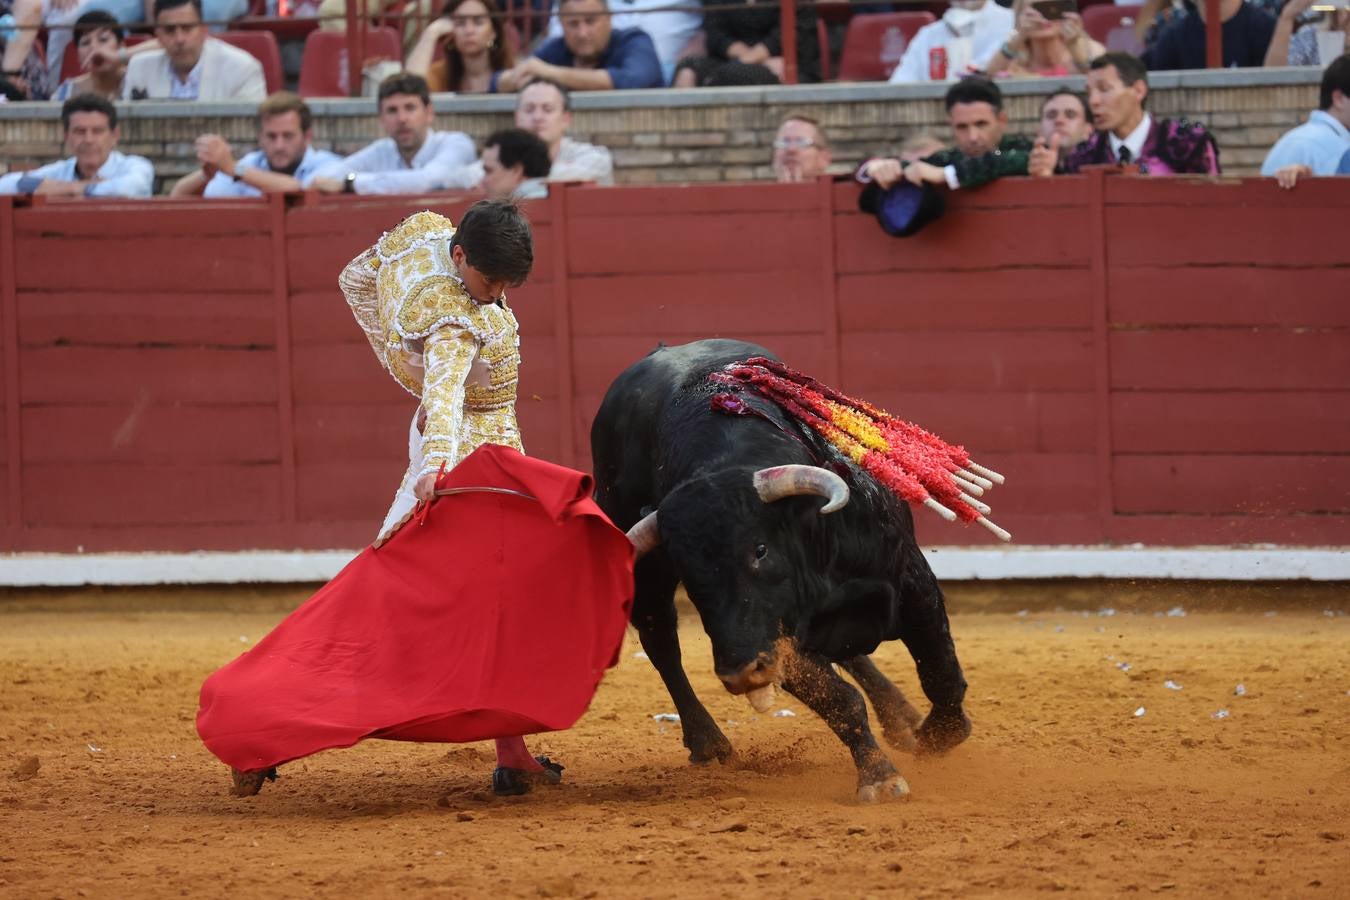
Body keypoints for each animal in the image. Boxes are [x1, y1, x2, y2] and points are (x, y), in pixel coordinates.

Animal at [591, 340, 972, 804]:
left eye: (760, 549)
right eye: (691, 571)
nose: (738, 674)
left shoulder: (912, 581)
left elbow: (939, 667)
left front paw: (938, 736)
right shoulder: (770, 644)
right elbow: (839, 700)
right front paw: (879, 778)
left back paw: (903, 719)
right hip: (649, 580)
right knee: (662, 645)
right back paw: (708, 743)